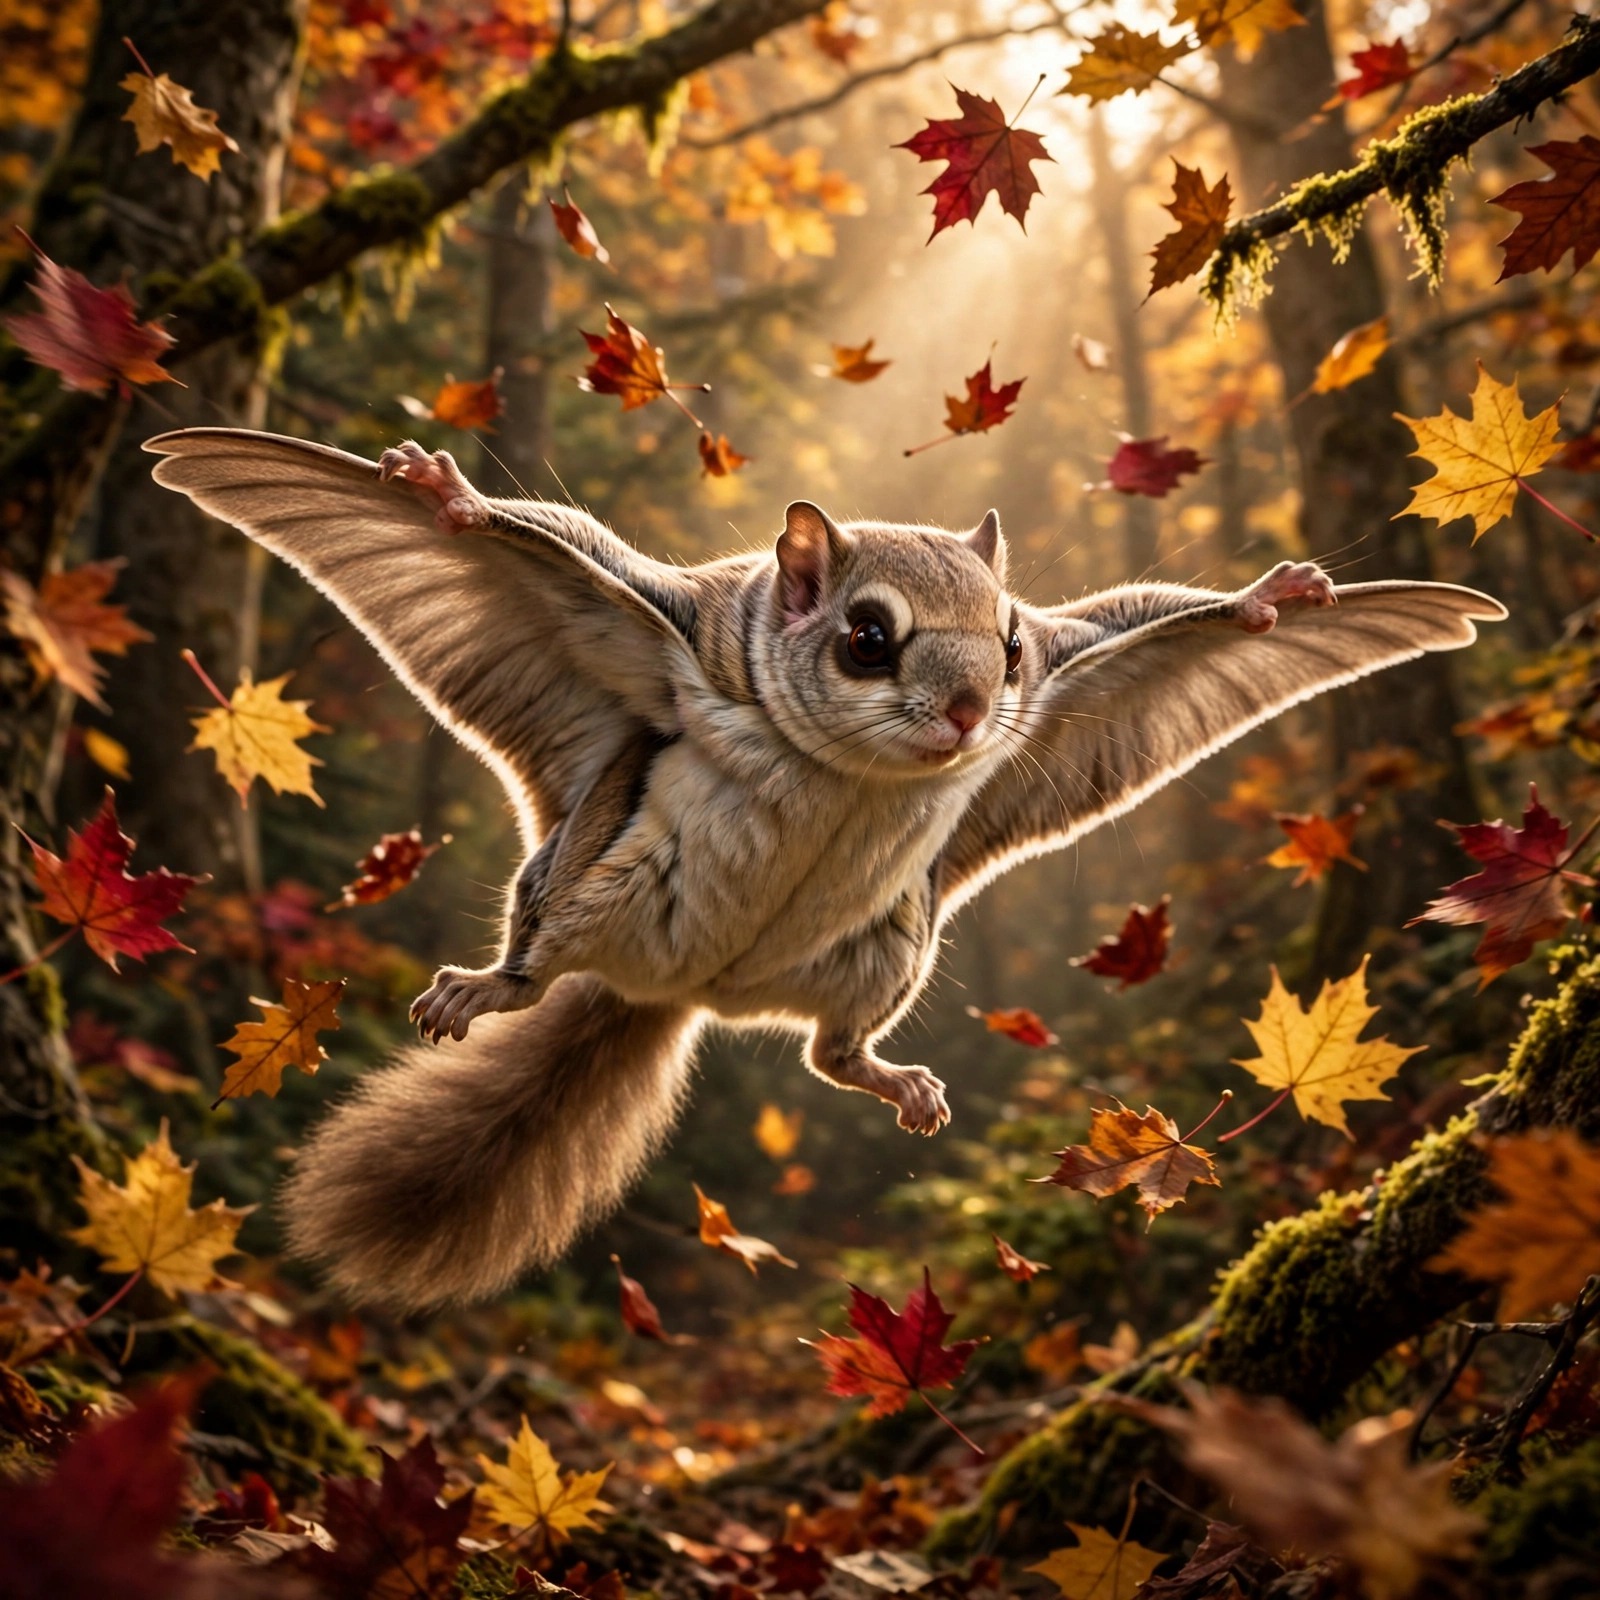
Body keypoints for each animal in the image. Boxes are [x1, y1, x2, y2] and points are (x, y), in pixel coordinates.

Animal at [145, 428, 1505, 1311]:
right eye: (867, 636)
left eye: (1014, 644)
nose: (970, 712)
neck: (846, 769)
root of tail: (672, 991)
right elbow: (553, 544)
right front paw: (445, 496)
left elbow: (1145, 616)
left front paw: (1277, 598)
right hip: (586, 874)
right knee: (535, 967)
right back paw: (480, 989)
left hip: (881, 950)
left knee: (827, 1058)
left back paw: (899, 1083)